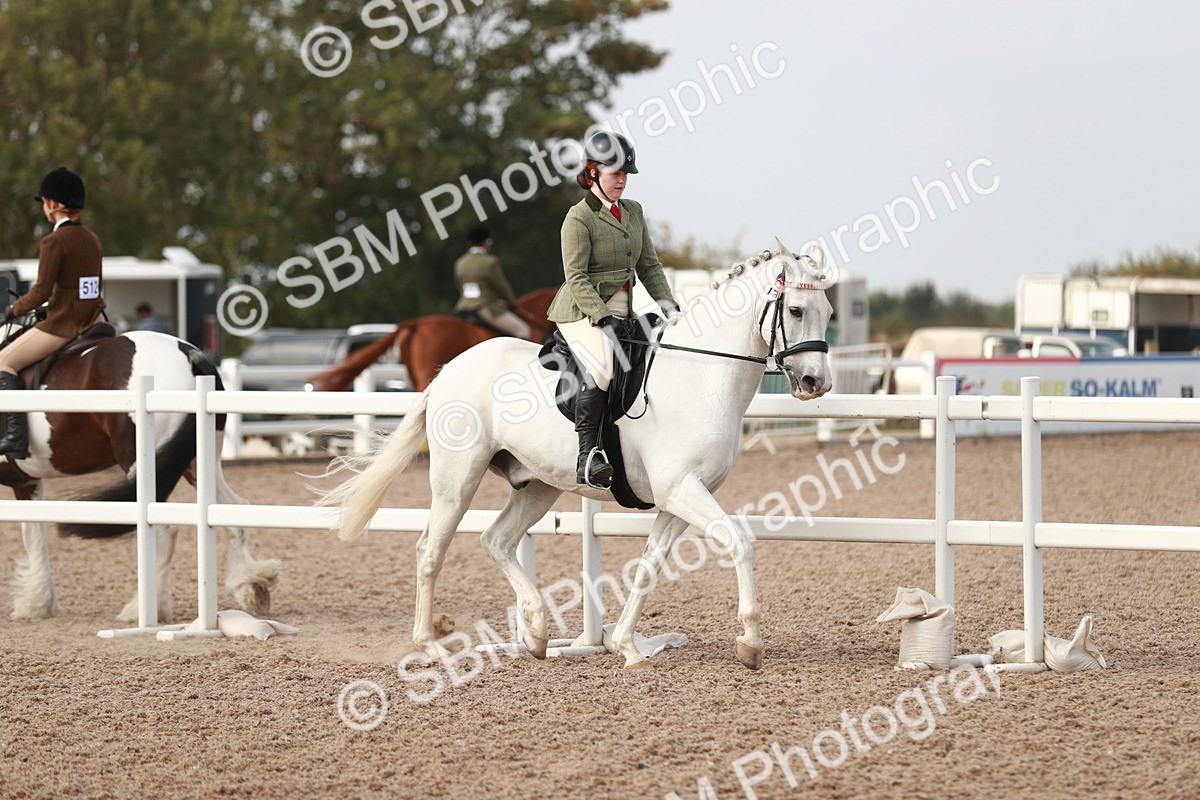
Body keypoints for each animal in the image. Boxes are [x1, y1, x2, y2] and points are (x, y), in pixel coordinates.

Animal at [1, 322, 280, 621]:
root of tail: (190, 354)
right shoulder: (26, 482)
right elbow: (33, 535)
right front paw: (38, 604)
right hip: (195, 464)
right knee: (230, 509)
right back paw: (251, 586)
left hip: (143, 465)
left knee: (164, 530)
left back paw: (144, 608)